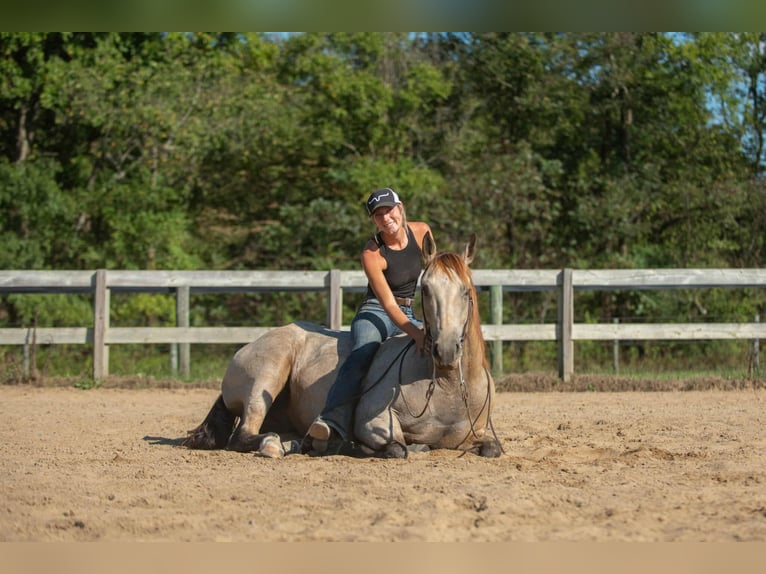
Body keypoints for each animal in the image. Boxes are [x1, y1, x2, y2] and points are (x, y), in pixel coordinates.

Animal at [182, 233, 502, 459]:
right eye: (425, 289)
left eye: (466, 291)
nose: (445, 351)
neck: (446, 387)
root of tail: (247, 346)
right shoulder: (371, 421)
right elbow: (398, 447)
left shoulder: (482, 432)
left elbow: (492, 449)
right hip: (268, 375)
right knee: (244, 435)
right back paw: (284, 444)